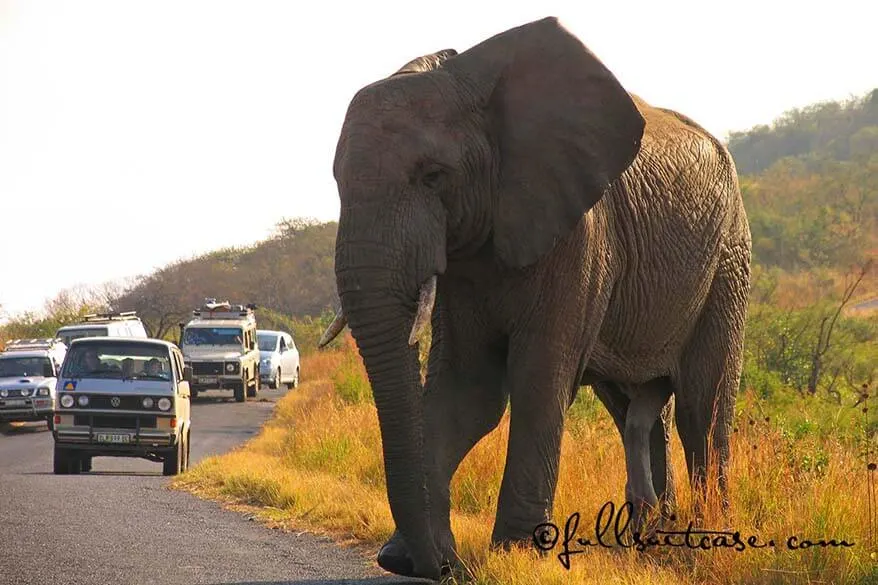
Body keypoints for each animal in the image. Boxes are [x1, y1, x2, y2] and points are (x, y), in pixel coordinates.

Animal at [320, 16, 752, 576]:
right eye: (337, 181)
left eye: (433, 177)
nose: (448, 567)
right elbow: (470, 390)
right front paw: (405, 558)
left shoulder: (581, 234)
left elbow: (537, 381)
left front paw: (517, 553)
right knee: (636, 410)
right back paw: (654, 538)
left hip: (728, 260)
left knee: (702, 408)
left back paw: (703, 538)